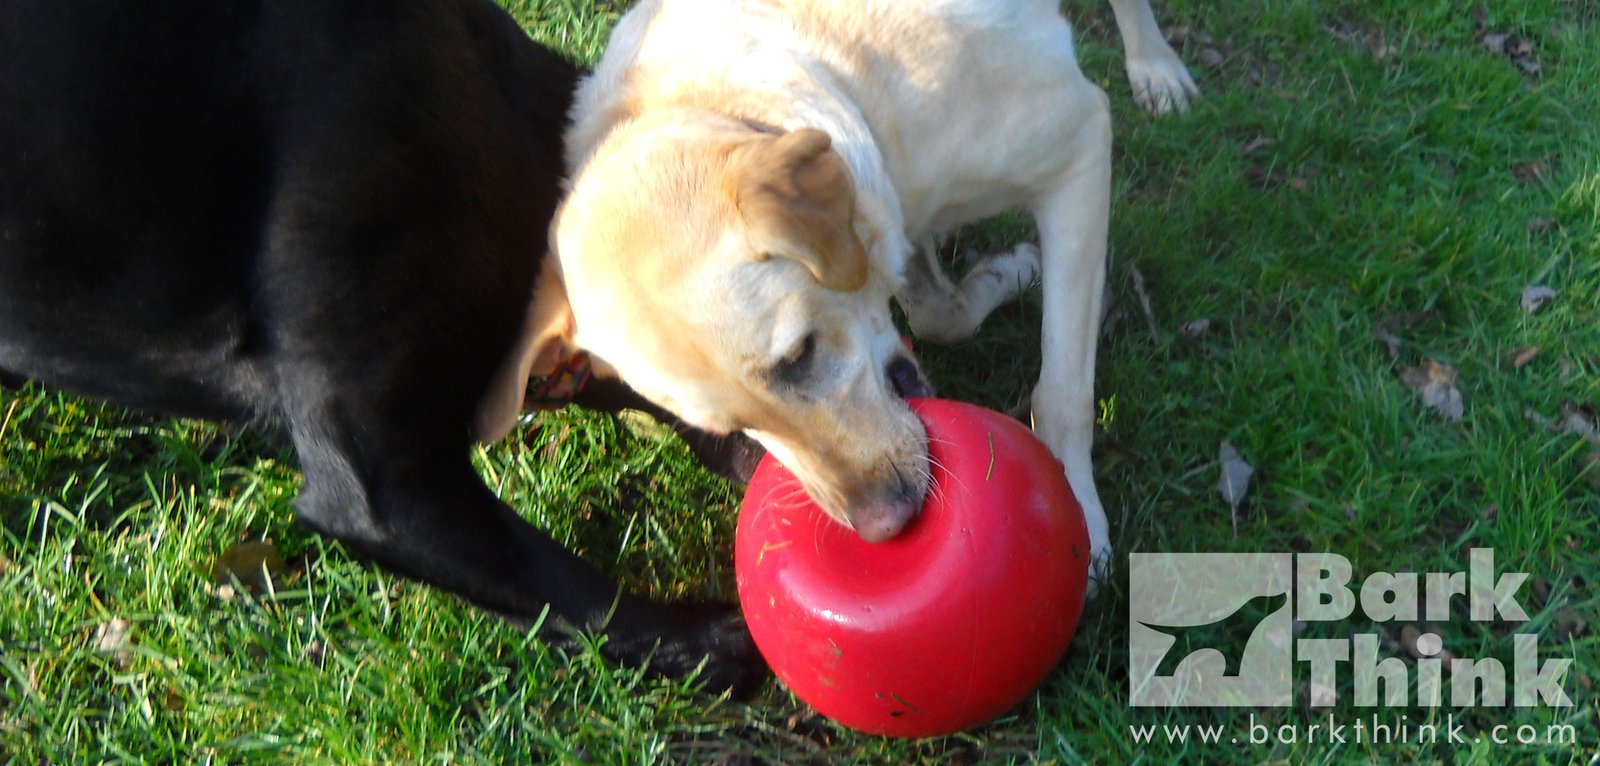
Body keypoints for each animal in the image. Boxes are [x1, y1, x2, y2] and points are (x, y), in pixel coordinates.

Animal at [531, 1, 1196, 588]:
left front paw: (1080, 516)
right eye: (728, 427)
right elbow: (936, 313)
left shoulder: (1078, 149)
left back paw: (1154, 65)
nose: (883, 529)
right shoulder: (901, 216)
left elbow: (1062, 392)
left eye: (798, 356)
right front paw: (1004, 274)